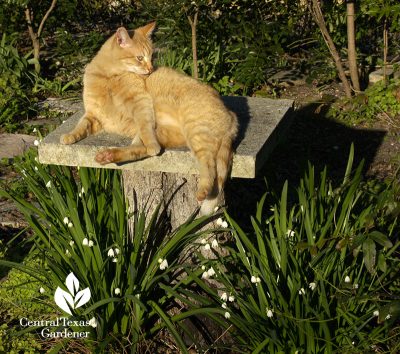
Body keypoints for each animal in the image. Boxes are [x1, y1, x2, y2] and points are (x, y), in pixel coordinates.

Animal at [60, 23, 238, 214]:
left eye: (151, 57)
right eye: (139, 58)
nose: (151, 69)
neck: (109, 77)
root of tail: (231, 115)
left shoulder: (141, 102)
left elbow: (145, 125)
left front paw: (152, 145)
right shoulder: (93, 115)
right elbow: (81, 126)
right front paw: (69, 136)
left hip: (196, 133)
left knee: (209, 167)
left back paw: (201, 191)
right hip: (165, 134)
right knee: (138, 150)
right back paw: (108, 156)